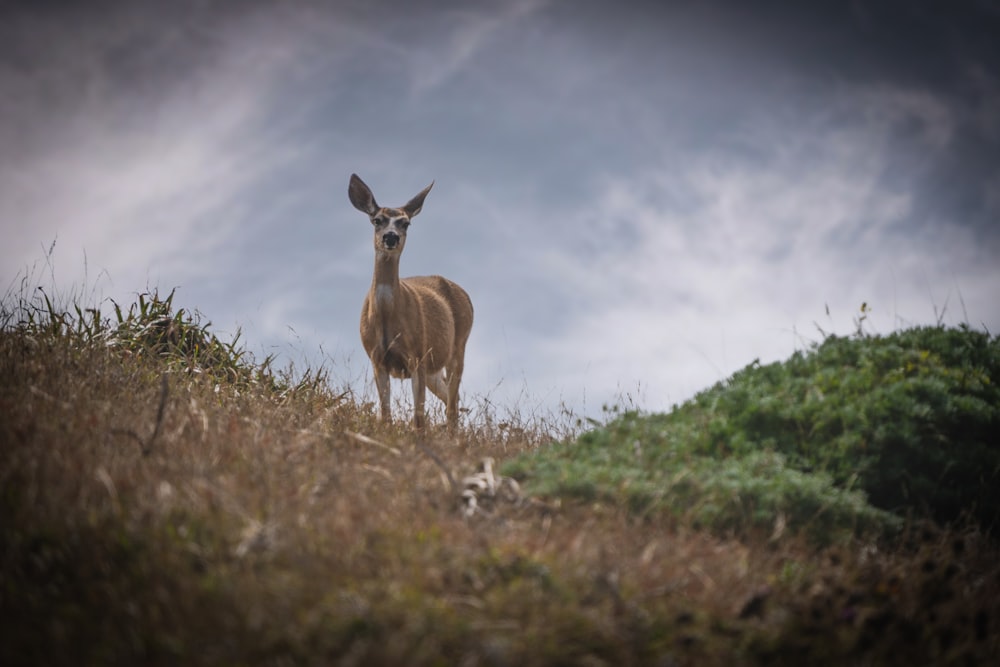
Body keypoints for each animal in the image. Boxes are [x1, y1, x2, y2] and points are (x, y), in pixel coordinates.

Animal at [350, 172, 474, 430]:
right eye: (377, 220)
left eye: (405, 223)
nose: (391, 237)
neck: (387, 318)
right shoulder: (377, 359)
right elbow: (386, 413)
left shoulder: (417, 355)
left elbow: (418, 419)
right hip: (434, 367)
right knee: (450, 397)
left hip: (458, 346)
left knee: (452, 403)